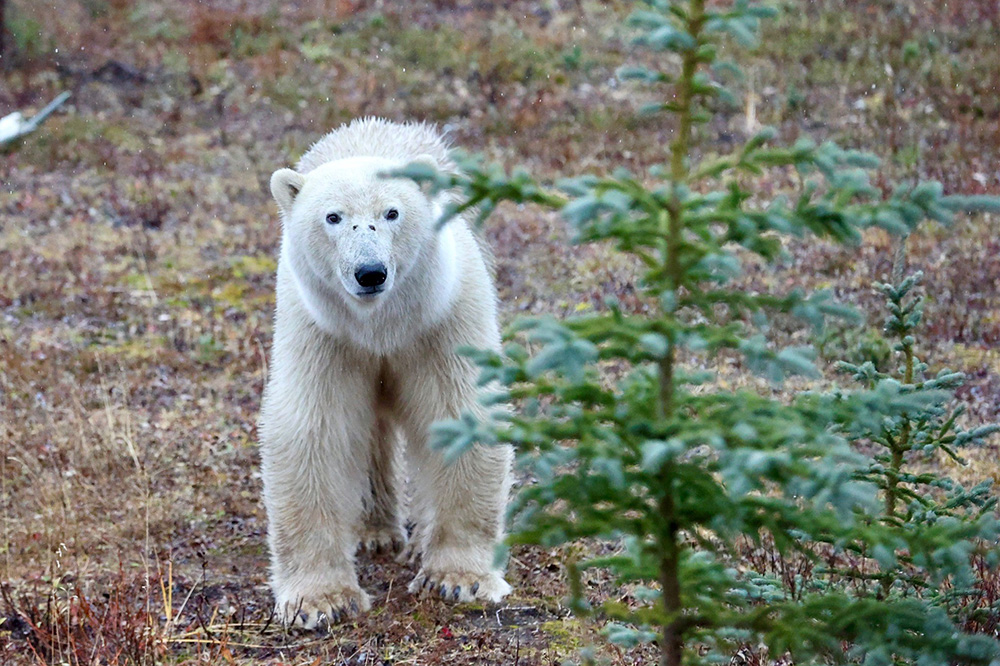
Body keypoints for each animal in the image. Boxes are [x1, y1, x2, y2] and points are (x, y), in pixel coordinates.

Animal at [259, 117, 513, 630]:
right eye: (333, 217)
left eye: (392, 212)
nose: (370, 271)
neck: (381, 325)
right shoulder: (321, 330)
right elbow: (312, 431)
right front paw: (320, 601)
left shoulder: (442, 318)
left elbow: (459, 411)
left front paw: (459, 579)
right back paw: (374, 531)